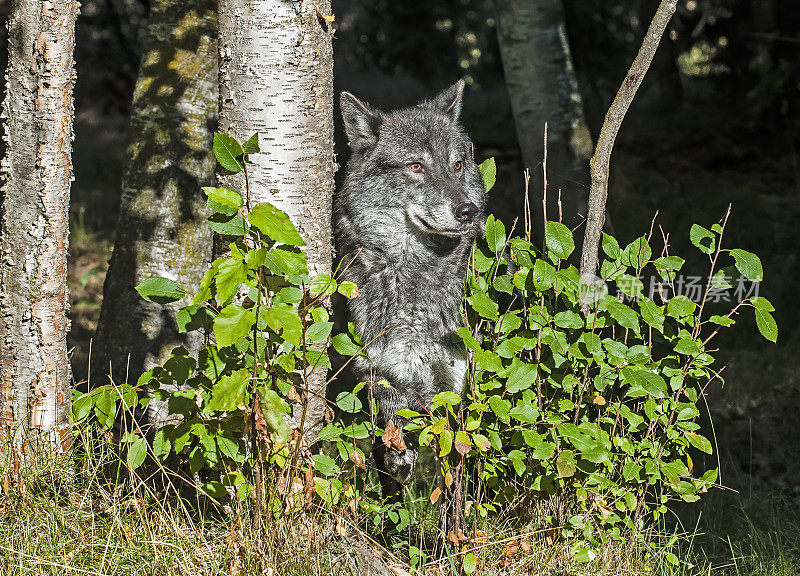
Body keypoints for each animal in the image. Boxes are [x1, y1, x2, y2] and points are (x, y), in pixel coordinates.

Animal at [332, 81, 484, 500]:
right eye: (416, 166)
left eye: (457, 165)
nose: (468, 211)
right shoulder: (377, 372)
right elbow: (391, 423)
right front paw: (399, 461)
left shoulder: (453, 389)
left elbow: (453, 477)